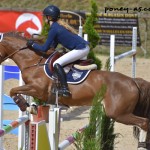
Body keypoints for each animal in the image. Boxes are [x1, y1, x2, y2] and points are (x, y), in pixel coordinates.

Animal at [0, 31, 150, 149]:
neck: (34, 61)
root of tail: (133, 81)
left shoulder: (37, 89)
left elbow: (13, 90)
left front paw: (25, 105)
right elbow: (14, 90)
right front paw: (30, 107)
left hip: (118, 113)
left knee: (144, 122)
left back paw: (141, 147)